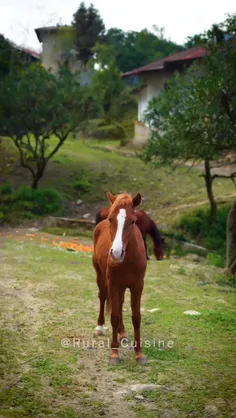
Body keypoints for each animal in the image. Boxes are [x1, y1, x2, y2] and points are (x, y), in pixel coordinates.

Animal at [92, 191, 147, 364]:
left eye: (133, 221)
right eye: (111, 218)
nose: (116, 253)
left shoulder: (137, 286)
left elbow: (136, 317)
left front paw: (139, 354)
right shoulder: (113, 284)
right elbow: (114, 316)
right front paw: (114, 354)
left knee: (121, 303)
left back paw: (122, 333)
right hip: (101, 277)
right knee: (102, 297)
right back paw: (99, 327)